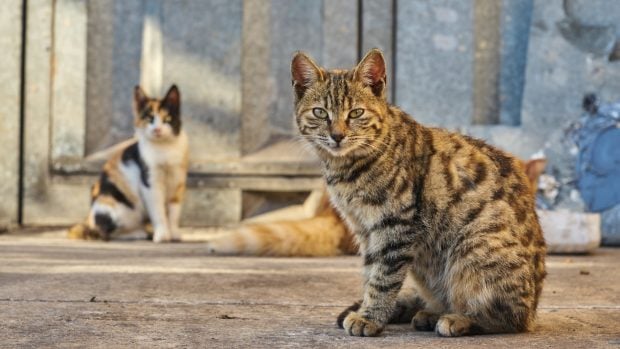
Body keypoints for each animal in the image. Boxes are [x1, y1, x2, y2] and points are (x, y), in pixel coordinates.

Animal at [68, 84, 189, 242]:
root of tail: (89, 220)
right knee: (107, 233)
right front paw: (162, 235)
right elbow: (158, 211)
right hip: (117, 208)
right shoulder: (150, 183)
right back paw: (138, 233)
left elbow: (174, 212)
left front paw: (174, 233)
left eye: (167, 118)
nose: (157, 129)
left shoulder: (178, 182)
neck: (165, 148)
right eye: (149, 118)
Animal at [284, 47, 544, 336]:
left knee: (509, 318)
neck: (348, 168)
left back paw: (459, 318)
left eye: (356, 113)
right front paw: (368, 310)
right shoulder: (365, 229)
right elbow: (371, 273)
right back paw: (430, 312)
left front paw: (370, 317)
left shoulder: (395, 225)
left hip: (475, 247)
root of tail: (534, 308)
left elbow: (383, 278)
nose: (337, 135)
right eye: (320, 113)